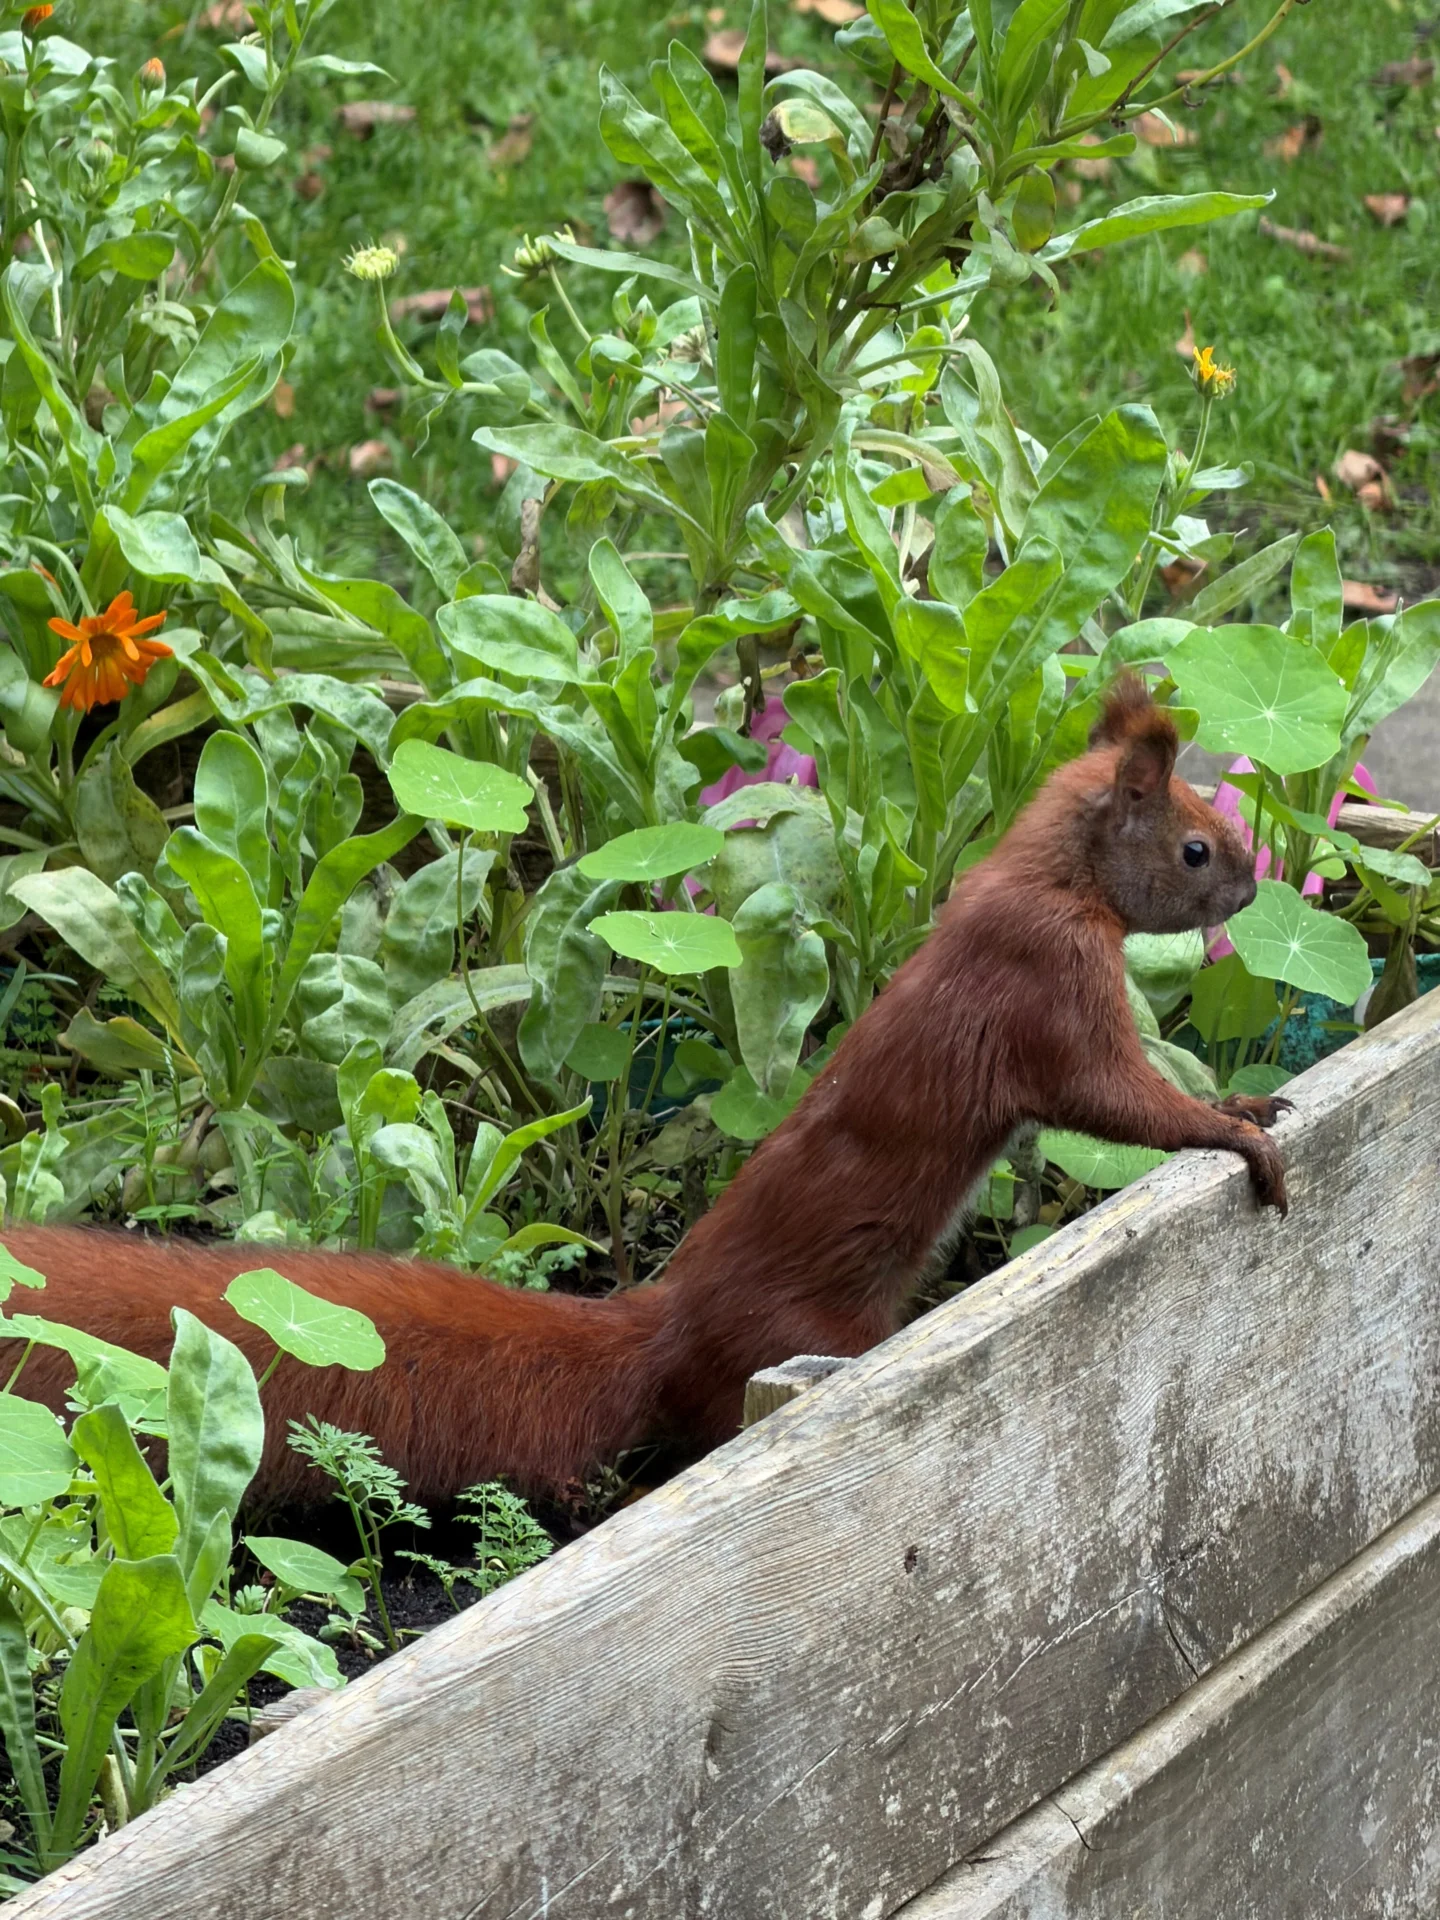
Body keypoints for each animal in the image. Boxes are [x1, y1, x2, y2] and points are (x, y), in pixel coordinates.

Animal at [0, 677, 1290, 1508]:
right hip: (803, 1340)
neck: (1047, 876)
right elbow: (1114, 1100)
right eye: (1194, 847)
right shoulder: (1047, 992)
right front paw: (1237, 1134)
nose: (1244, 893)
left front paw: (1257, 1110)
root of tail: (666, 1328)